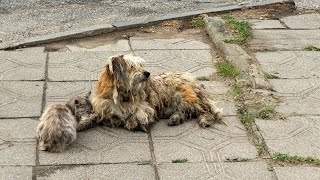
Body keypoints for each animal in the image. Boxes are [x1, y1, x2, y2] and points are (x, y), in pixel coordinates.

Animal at [91, 54, 224, 131]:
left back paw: (205, 119)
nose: (147, 73)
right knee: (185, 112)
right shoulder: (104, 107)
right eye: (132, 66)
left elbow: (136, 116)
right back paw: (175, 118)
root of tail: (194, 81)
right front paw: (115, 120)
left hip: (185, 96)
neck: (123, 95)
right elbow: (111, 117)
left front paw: (131, 122)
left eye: (141, 65)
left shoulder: (145, 108)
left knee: (203, 111)